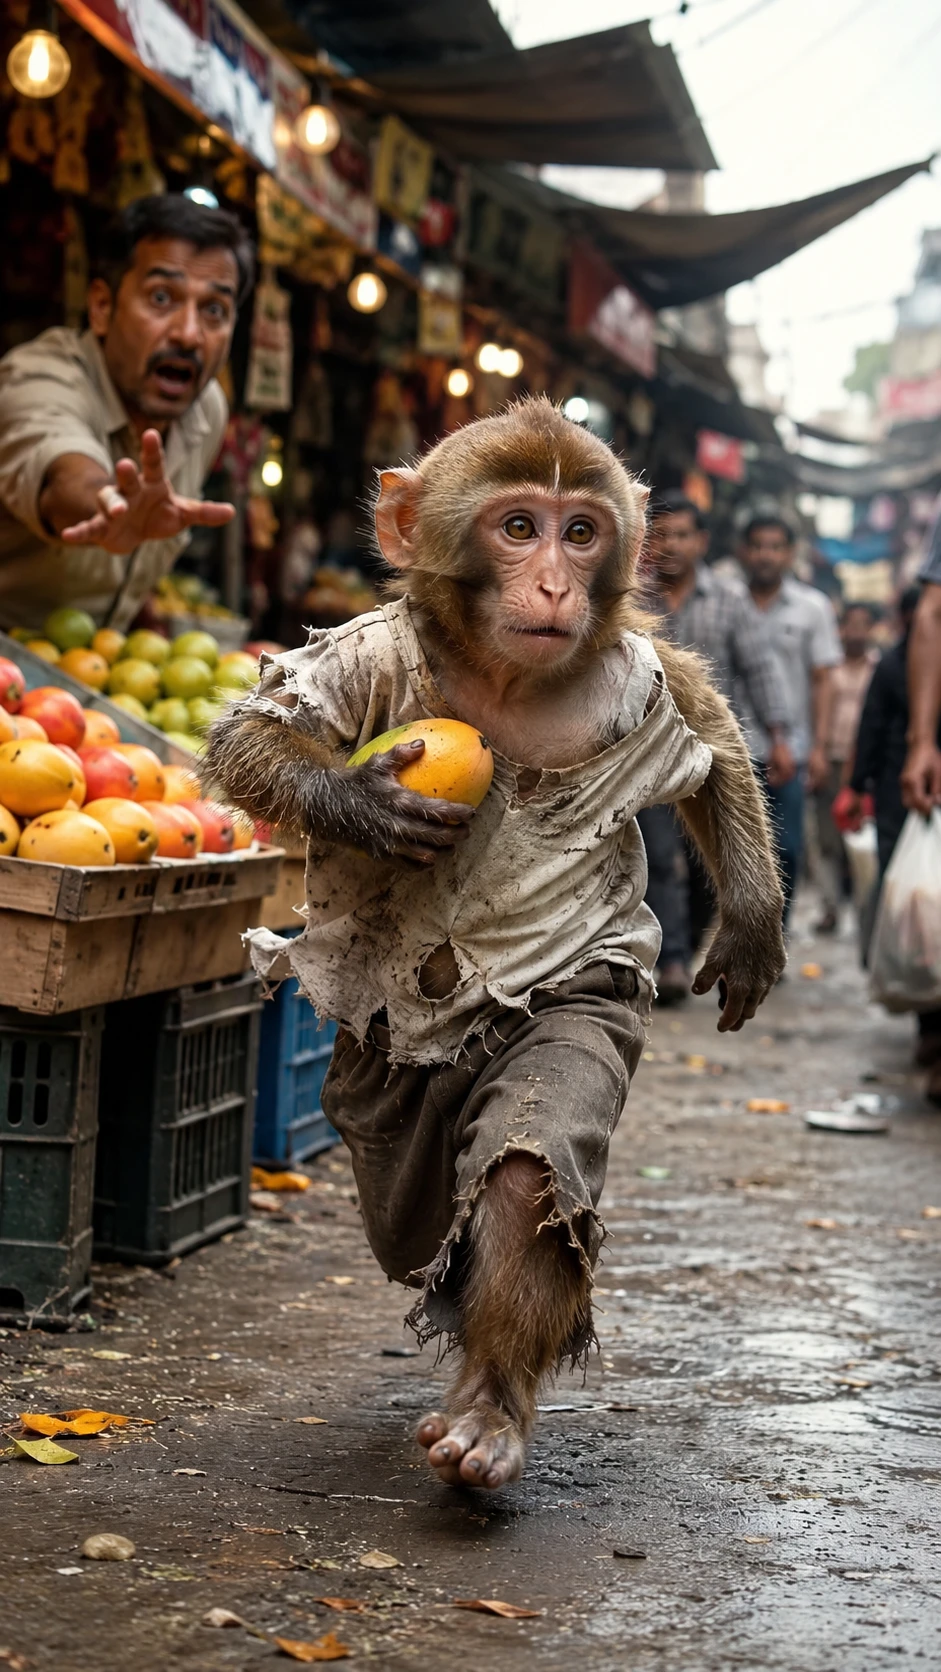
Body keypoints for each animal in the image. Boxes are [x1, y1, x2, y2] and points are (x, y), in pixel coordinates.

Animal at [207, 395, 785, 1492]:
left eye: (580, 531)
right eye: (517, 528)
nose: (555, 583)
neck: (504, 676)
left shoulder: (631, 669)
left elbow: (707, 737)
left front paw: (751, 919)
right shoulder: (369, 651)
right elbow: (253, 738)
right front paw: (358, 802)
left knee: (525, 1155)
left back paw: (485, 1413)